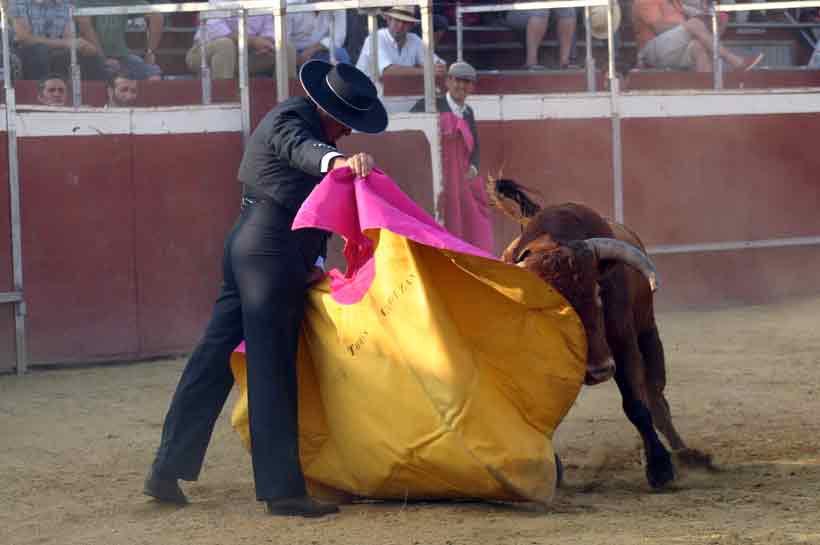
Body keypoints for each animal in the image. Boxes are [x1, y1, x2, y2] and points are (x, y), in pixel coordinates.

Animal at [494, 178, 712, 488]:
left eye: (598, 292)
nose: (599, 371)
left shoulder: (623, 344)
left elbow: (636, 404)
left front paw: (660, 467)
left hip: (648, 333)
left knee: (656, 398)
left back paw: (685, 455)